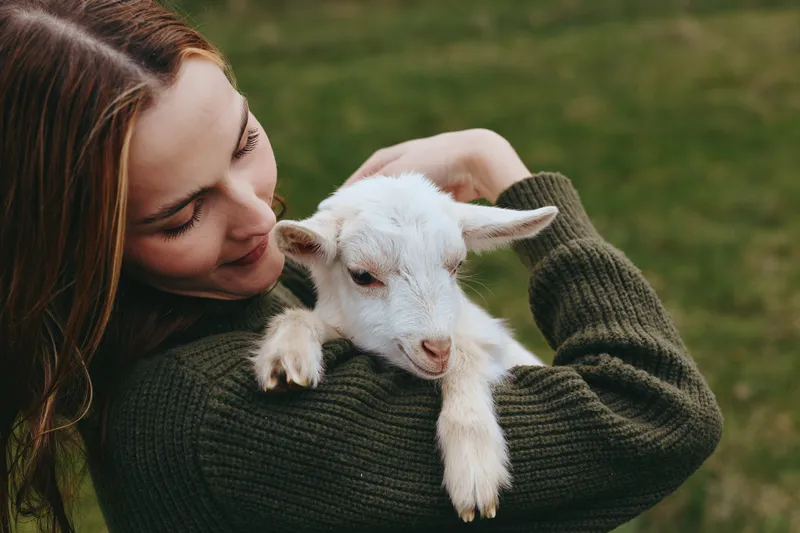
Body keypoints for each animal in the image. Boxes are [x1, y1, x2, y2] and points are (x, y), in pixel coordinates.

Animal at [251, 173, 558, 522]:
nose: (438, 349)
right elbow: (301, 319)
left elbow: (467, 356)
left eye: (457, 264)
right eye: (362, 275)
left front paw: (474, 470)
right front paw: (285, 358)